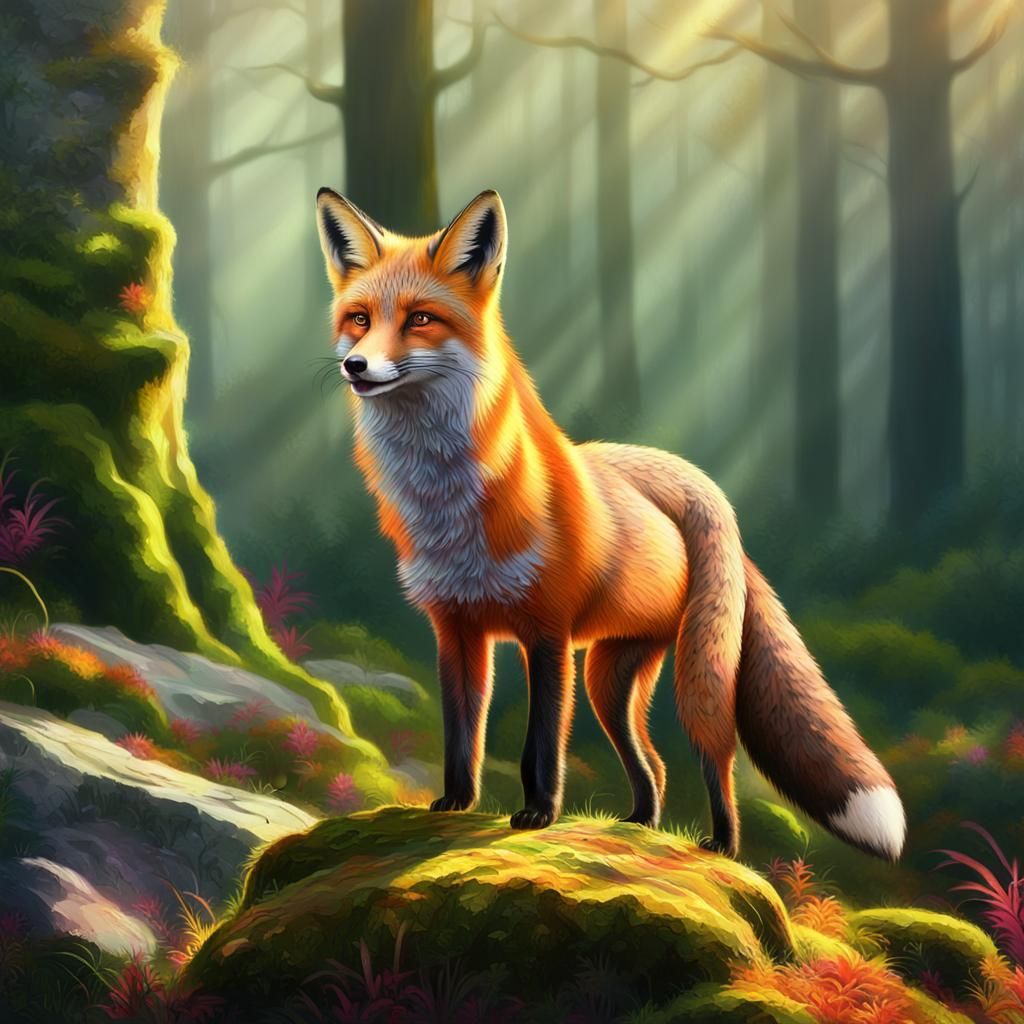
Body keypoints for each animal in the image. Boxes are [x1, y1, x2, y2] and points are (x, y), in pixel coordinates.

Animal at [314, 186, 906, 861]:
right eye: (360, 319)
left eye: (419, 319)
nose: (357, 366)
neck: (450, 508)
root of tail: (691, 484)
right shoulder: (457, 630)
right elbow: (462, 733)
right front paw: (456, 804)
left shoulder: (547, 634)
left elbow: (540, 745)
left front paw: (539, 814)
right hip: (610, 677)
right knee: (653, 764)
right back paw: (639, 823)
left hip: (694, 677)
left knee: (716, 759)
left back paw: (722, 845)